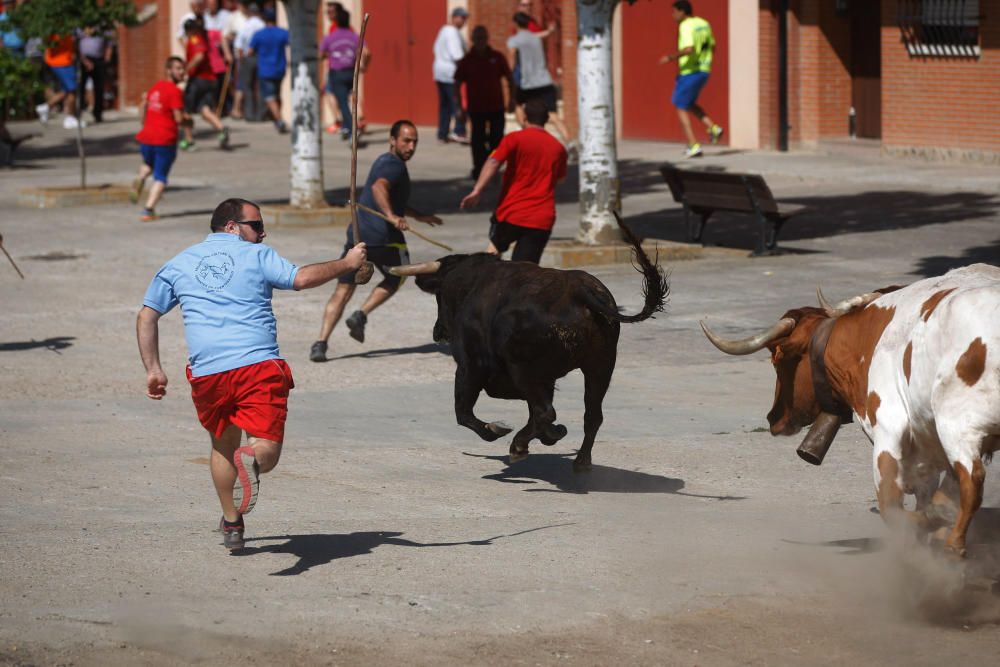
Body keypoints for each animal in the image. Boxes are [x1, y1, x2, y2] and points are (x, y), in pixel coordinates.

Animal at [394, 217, 668, 472]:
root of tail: (578, 291)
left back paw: (519, 446)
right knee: (590, 415)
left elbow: (463, 412)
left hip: (523, 369)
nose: (437, 332)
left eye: (438, 296)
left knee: (546, 412)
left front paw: (497, 430)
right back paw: (579, 460)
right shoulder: (543, 378)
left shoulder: (470, 367)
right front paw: (552, 435)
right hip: (600, 365)